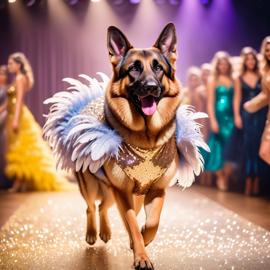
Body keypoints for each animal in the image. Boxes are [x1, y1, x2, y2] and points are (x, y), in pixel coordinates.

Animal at [76, 24, 181, 268]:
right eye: (134, 69)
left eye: (158, 68)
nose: (151, 87)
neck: (146, 137)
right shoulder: (122, 192)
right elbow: (131, 223)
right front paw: (141, 256)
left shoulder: (156, 191)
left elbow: (151, 223)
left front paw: (143, 239)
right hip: (93, 187)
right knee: (91, 206)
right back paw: (92, 233)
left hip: (117, 194)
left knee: (104, 207)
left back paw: (106, 232)